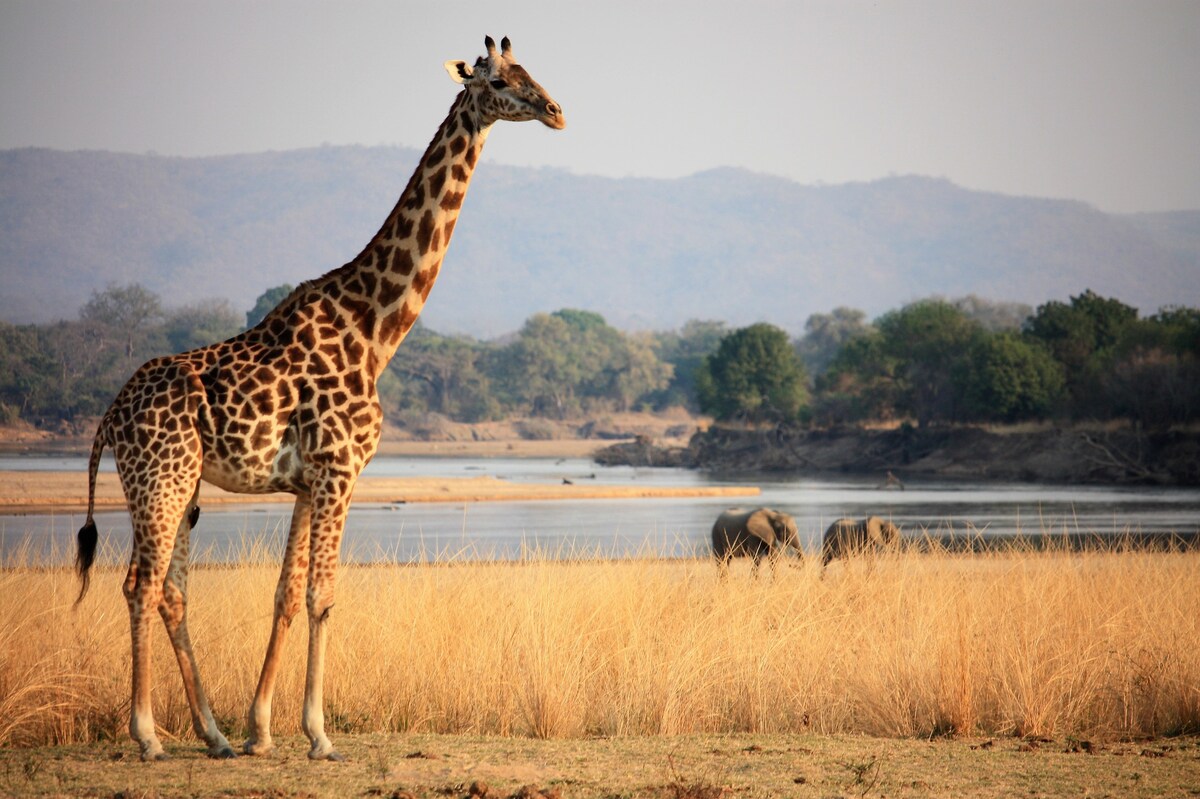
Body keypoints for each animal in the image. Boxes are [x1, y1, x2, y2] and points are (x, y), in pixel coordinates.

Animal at [73, 37, 561, 758]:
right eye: (499, 81)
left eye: (532, 72)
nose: (556, 110)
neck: (376, 326)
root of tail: (109, 416)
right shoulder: (340, 470)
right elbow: (323, 594)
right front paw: (318, 734)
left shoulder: (307, 481)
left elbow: (285, 593)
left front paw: (259, 730)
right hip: (158, 480)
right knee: (140, 584)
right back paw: (149, 736)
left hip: (180, 487)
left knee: (172, 593)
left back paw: (214, 735)